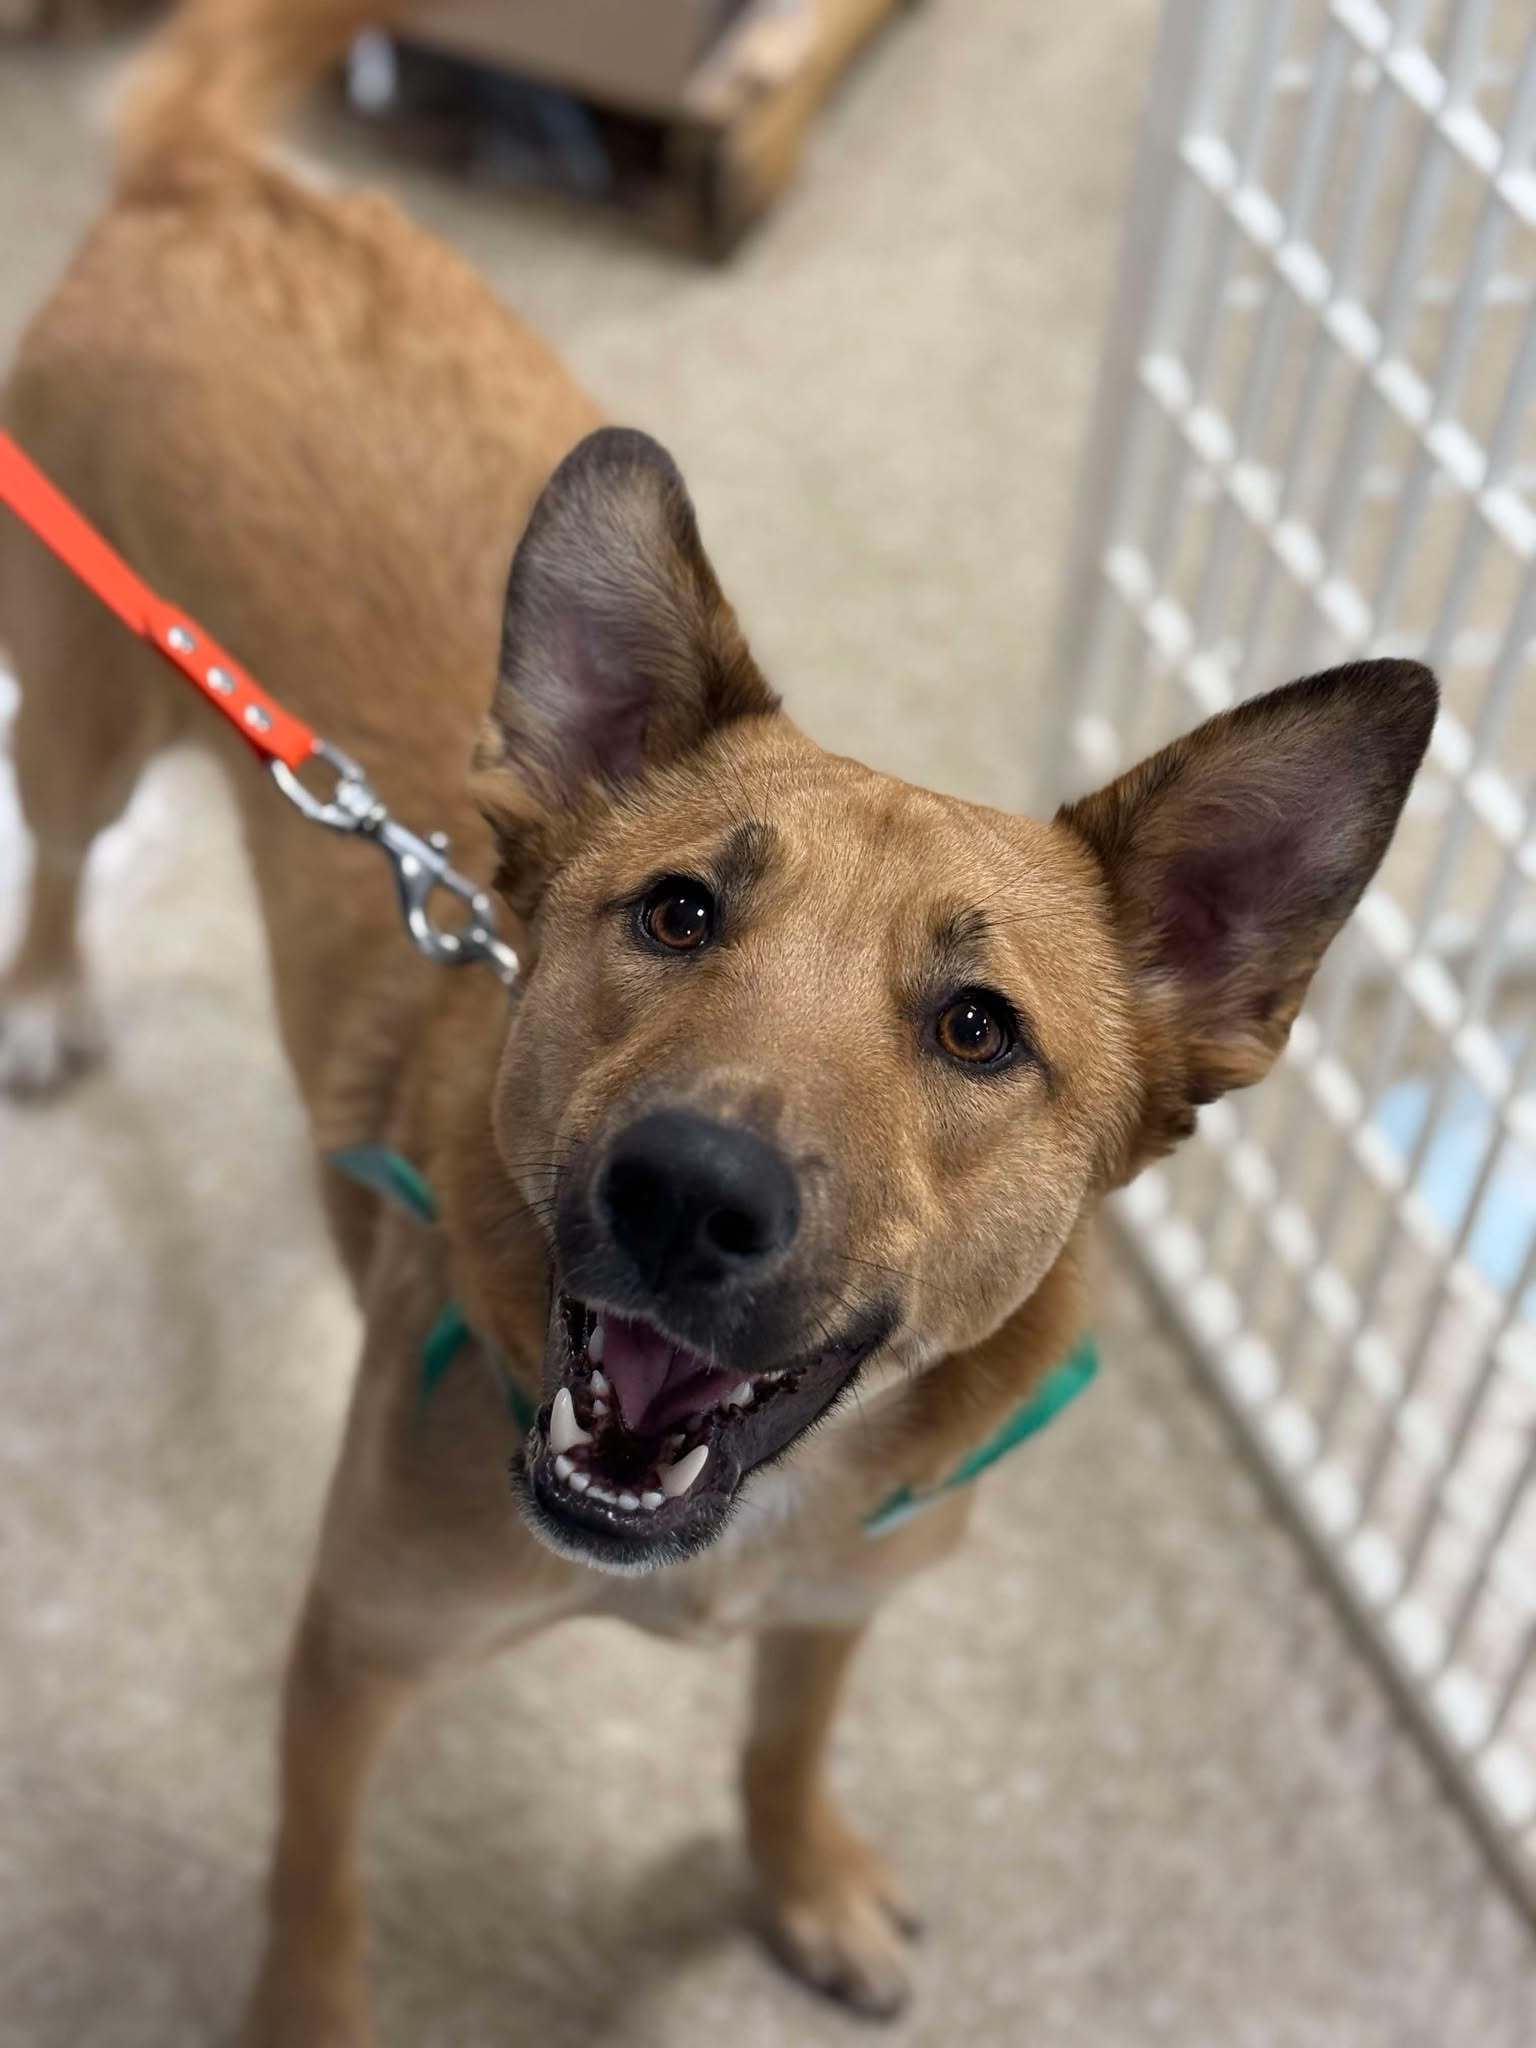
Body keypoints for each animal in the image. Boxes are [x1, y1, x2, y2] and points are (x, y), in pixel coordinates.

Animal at [0, 8, 1441, 2039]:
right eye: (677, 912)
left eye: (980, 1029)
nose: (689, 1195)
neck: (725, 1529)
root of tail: (219, 187)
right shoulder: (352, 1648)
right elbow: (315, 1896)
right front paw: (308, 2007)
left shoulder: (841, 1605)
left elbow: (783, 1745)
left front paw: (798, 1879)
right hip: (81, 715)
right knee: (57, 853)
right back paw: (48, 992)